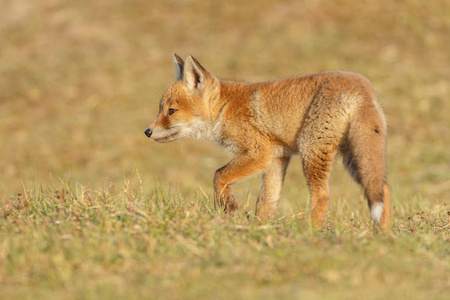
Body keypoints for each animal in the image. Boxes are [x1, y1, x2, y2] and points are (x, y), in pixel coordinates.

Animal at [145, 54, 390, 230]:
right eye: (161, 109)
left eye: (171, 111)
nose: (147, 131)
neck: (225, 108)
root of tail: (363, 86)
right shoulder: (276, 158)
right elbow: (266, 200)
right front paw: (259, 228)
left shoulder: (258, 152)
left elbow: (219, 175)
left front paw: (229, 209)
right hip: (355, 159)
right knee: (383, 188)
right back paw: (383, 235)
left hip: (312, 153)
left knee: (322, 196)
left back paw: (310, 233)